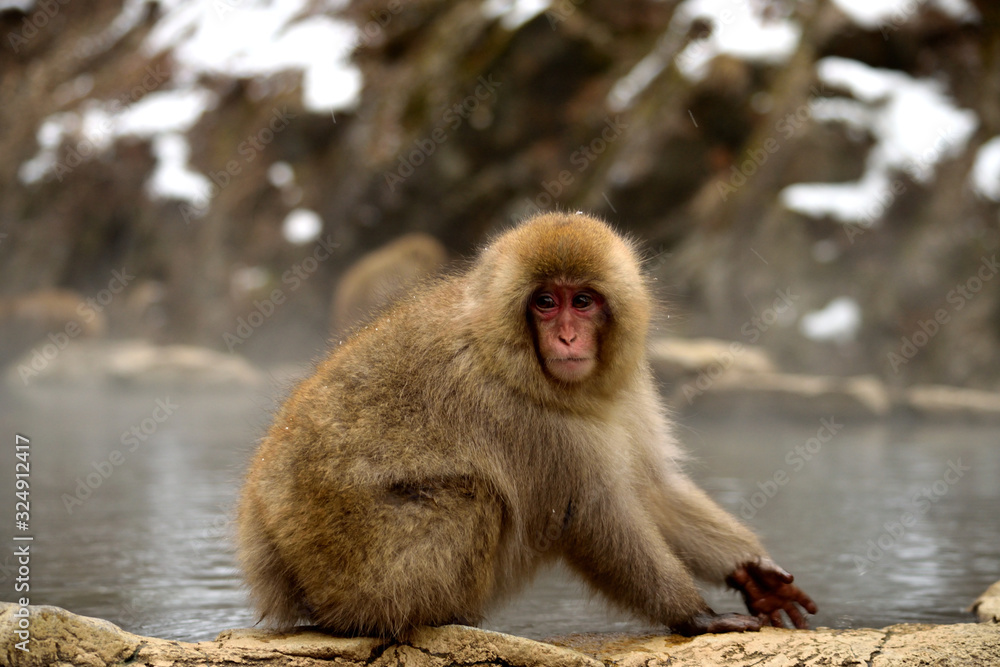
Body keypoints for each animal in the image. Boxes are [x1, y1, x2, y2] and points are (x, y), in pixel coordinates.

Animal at [237, 212, 816, 639]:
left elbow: (651, 486)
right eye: (545, 302)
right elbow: (592, 516)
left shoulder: (627, 388)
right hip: (357, 570)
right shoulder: (524, 420)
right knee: (473, 499)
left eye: (582, 301)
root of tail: (272, 559)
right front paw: (695, 615)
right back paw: (430, 618)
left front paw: (753, 572)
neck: (508, 353)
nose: (566, 338)